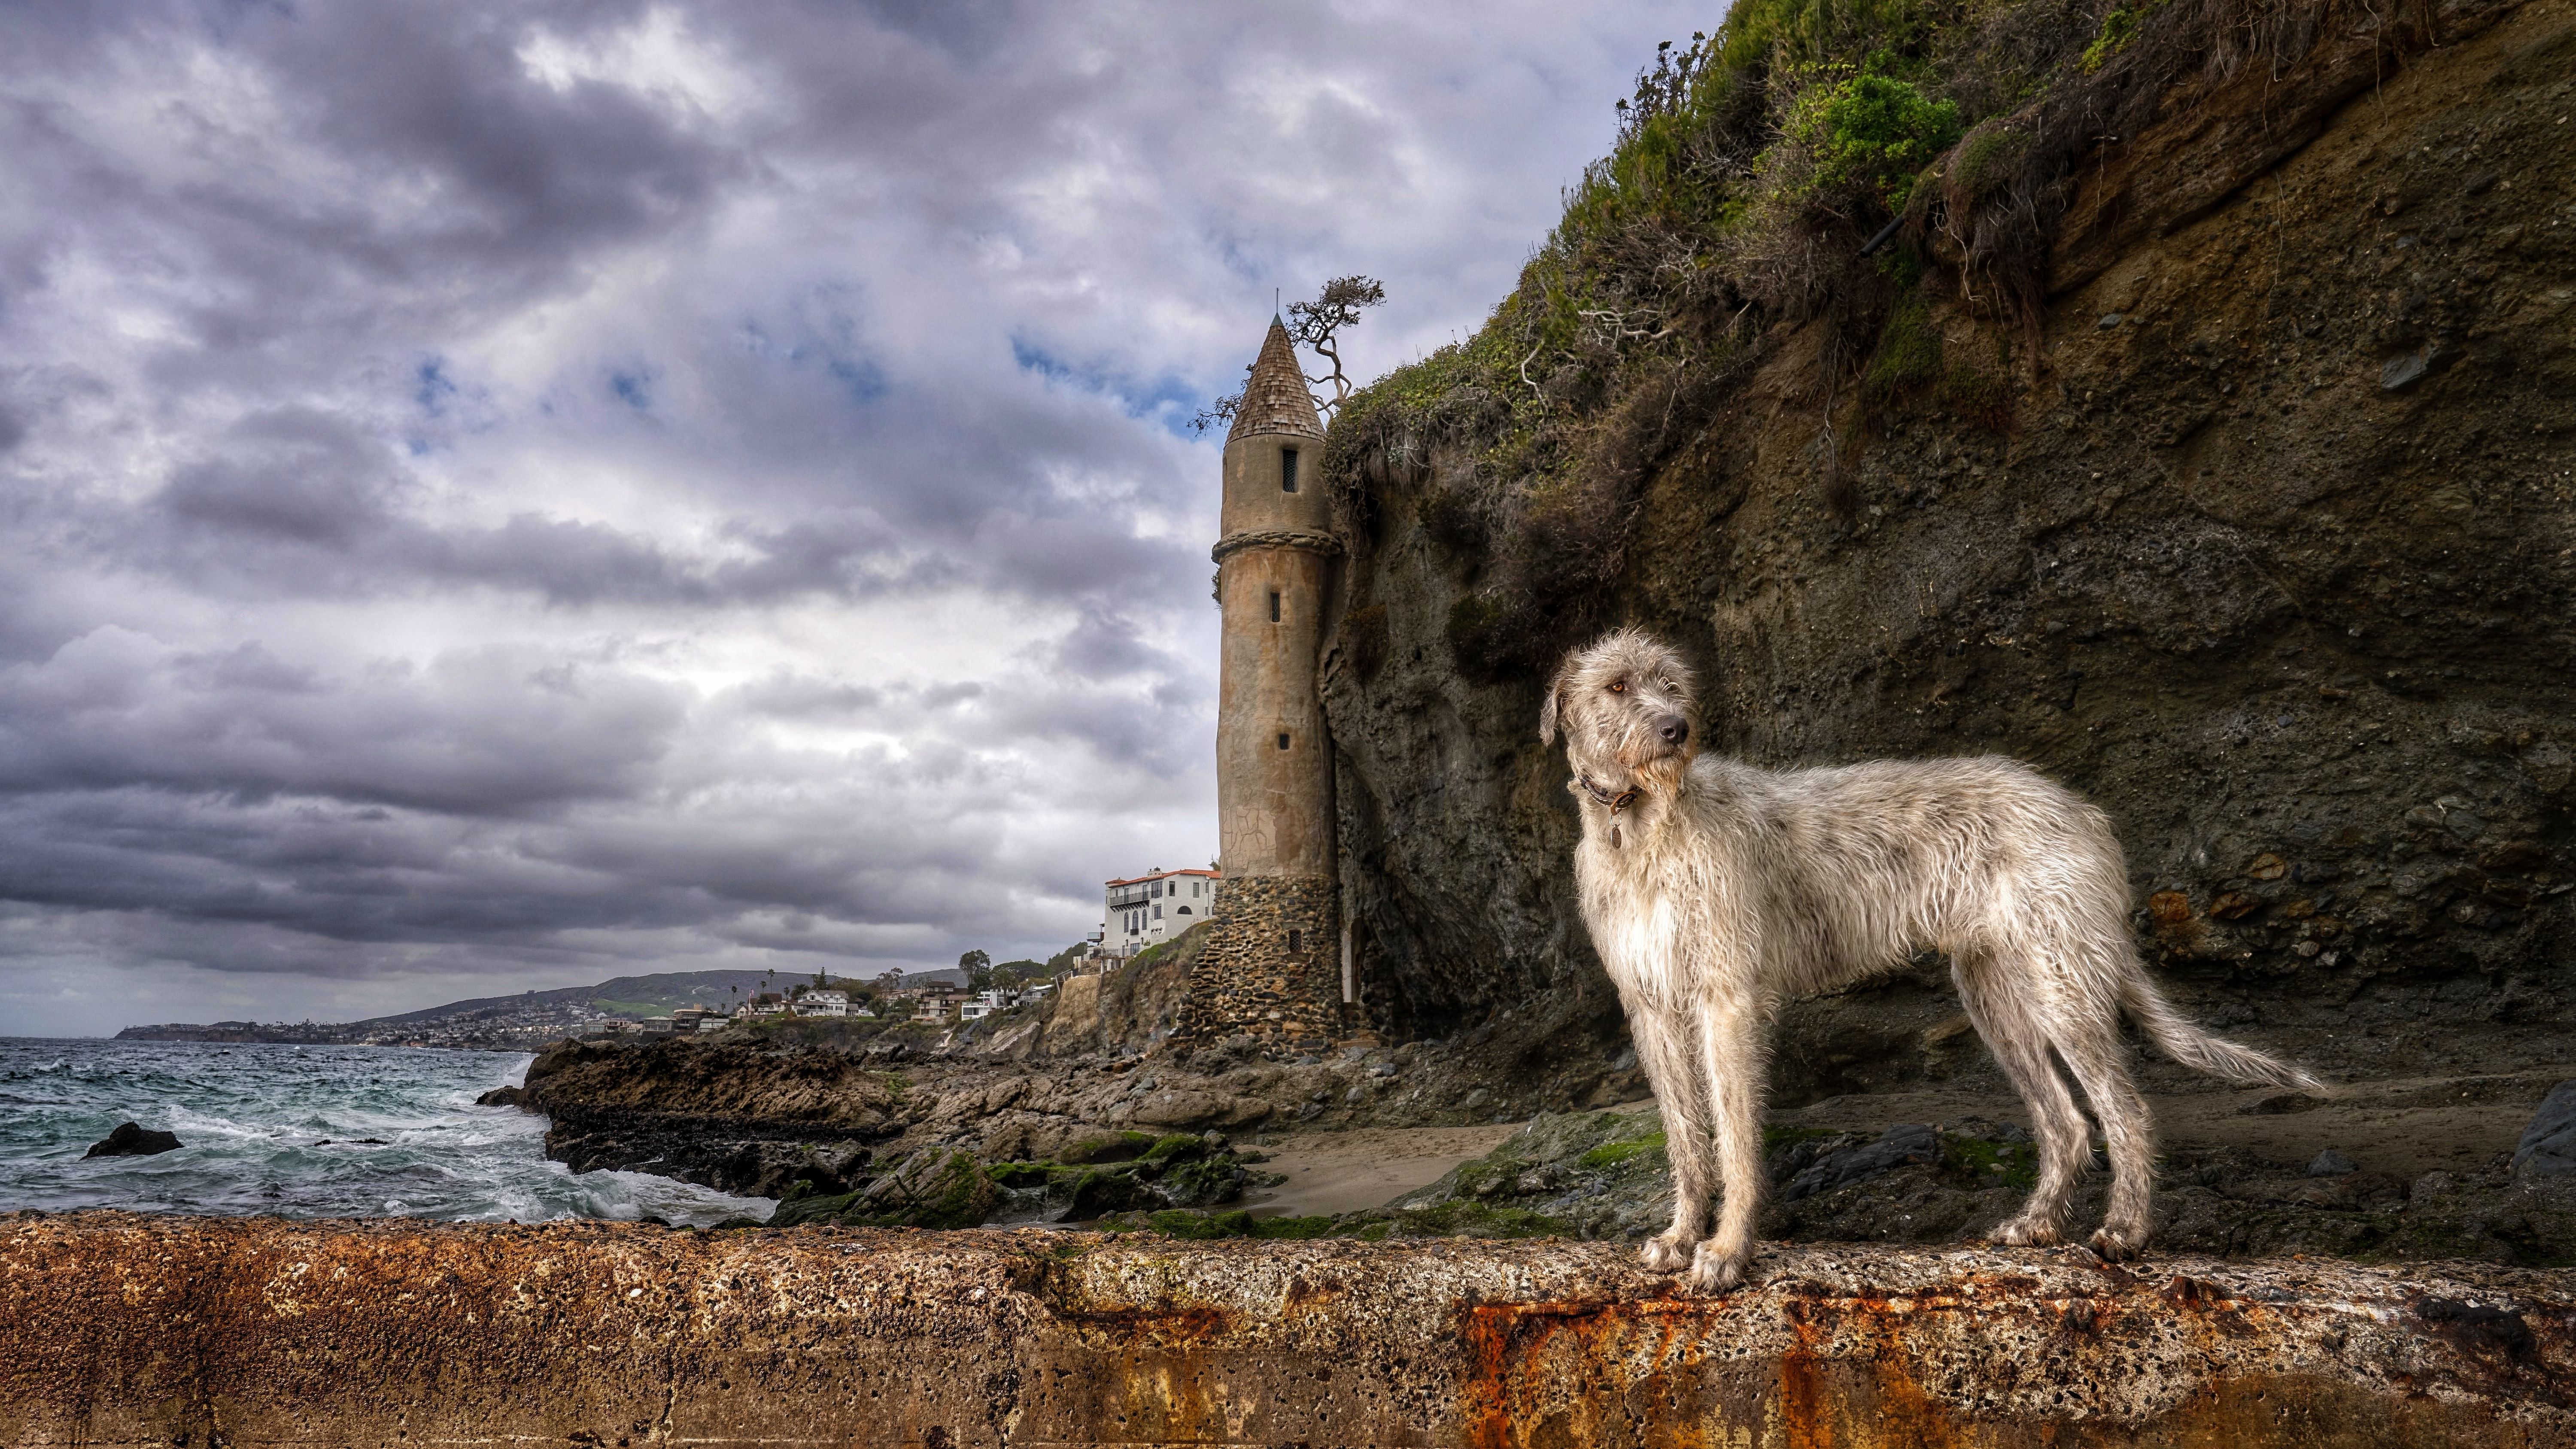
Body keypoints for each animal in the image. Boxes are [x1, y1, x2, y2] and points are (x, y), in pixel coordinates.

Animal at [1535, 624, 2329, 1284]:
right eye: (1616, 686)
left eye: (1670, 684)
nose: (1677, 728)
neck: (1641, 823)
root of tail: (2081, 809)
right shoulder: (1653, 1007)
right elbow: (1684, 1138)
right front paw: (1679, 1237)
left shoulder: (1728, 998)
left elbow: (1734, 1135)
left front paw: (1728, 1251)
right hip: (1999, 997)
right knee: (2068, 1122)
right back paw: (2037, 1224)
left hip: (2062, 983)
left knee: (2127, 1110)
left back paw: (2125, 1233)